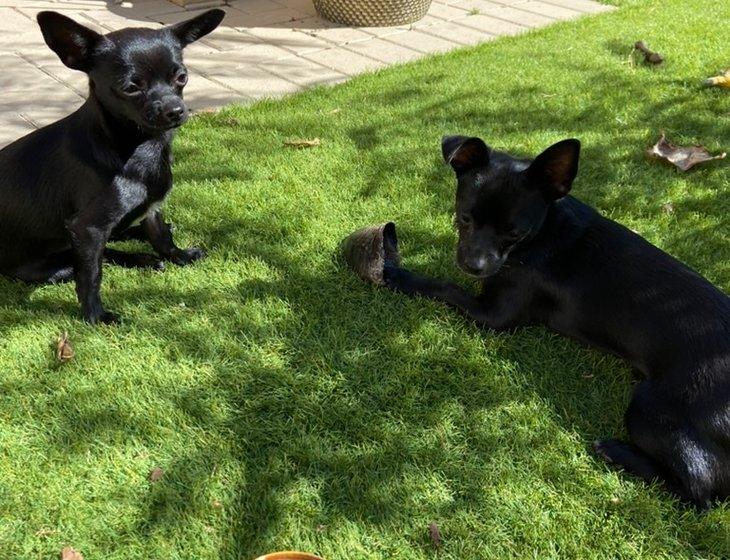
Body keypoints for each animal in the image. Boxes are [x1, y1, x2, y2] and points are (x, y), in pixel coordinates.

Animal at [0, 8, 225, 324]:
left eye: (182, 77)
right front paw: (96, 316)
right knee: (85, 260)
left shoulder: (152, 206)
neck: (139, 148)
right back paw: (137, 257)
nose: (175, 110)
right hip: (48, 266)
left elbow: (160, 235)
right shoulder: (87, 228)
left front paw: (177, 255)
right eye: (131, 88)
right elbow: (91, 275)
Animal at [384, 135, 724, 508]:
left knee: (702, 490)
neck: (545, 231)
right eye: (464, 217)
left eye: (515, 233)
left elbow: (444, 286)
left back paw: (616, 452)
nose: (474, 265)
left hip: (651, 409)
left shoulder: (494, 314)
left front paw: (399, 274)